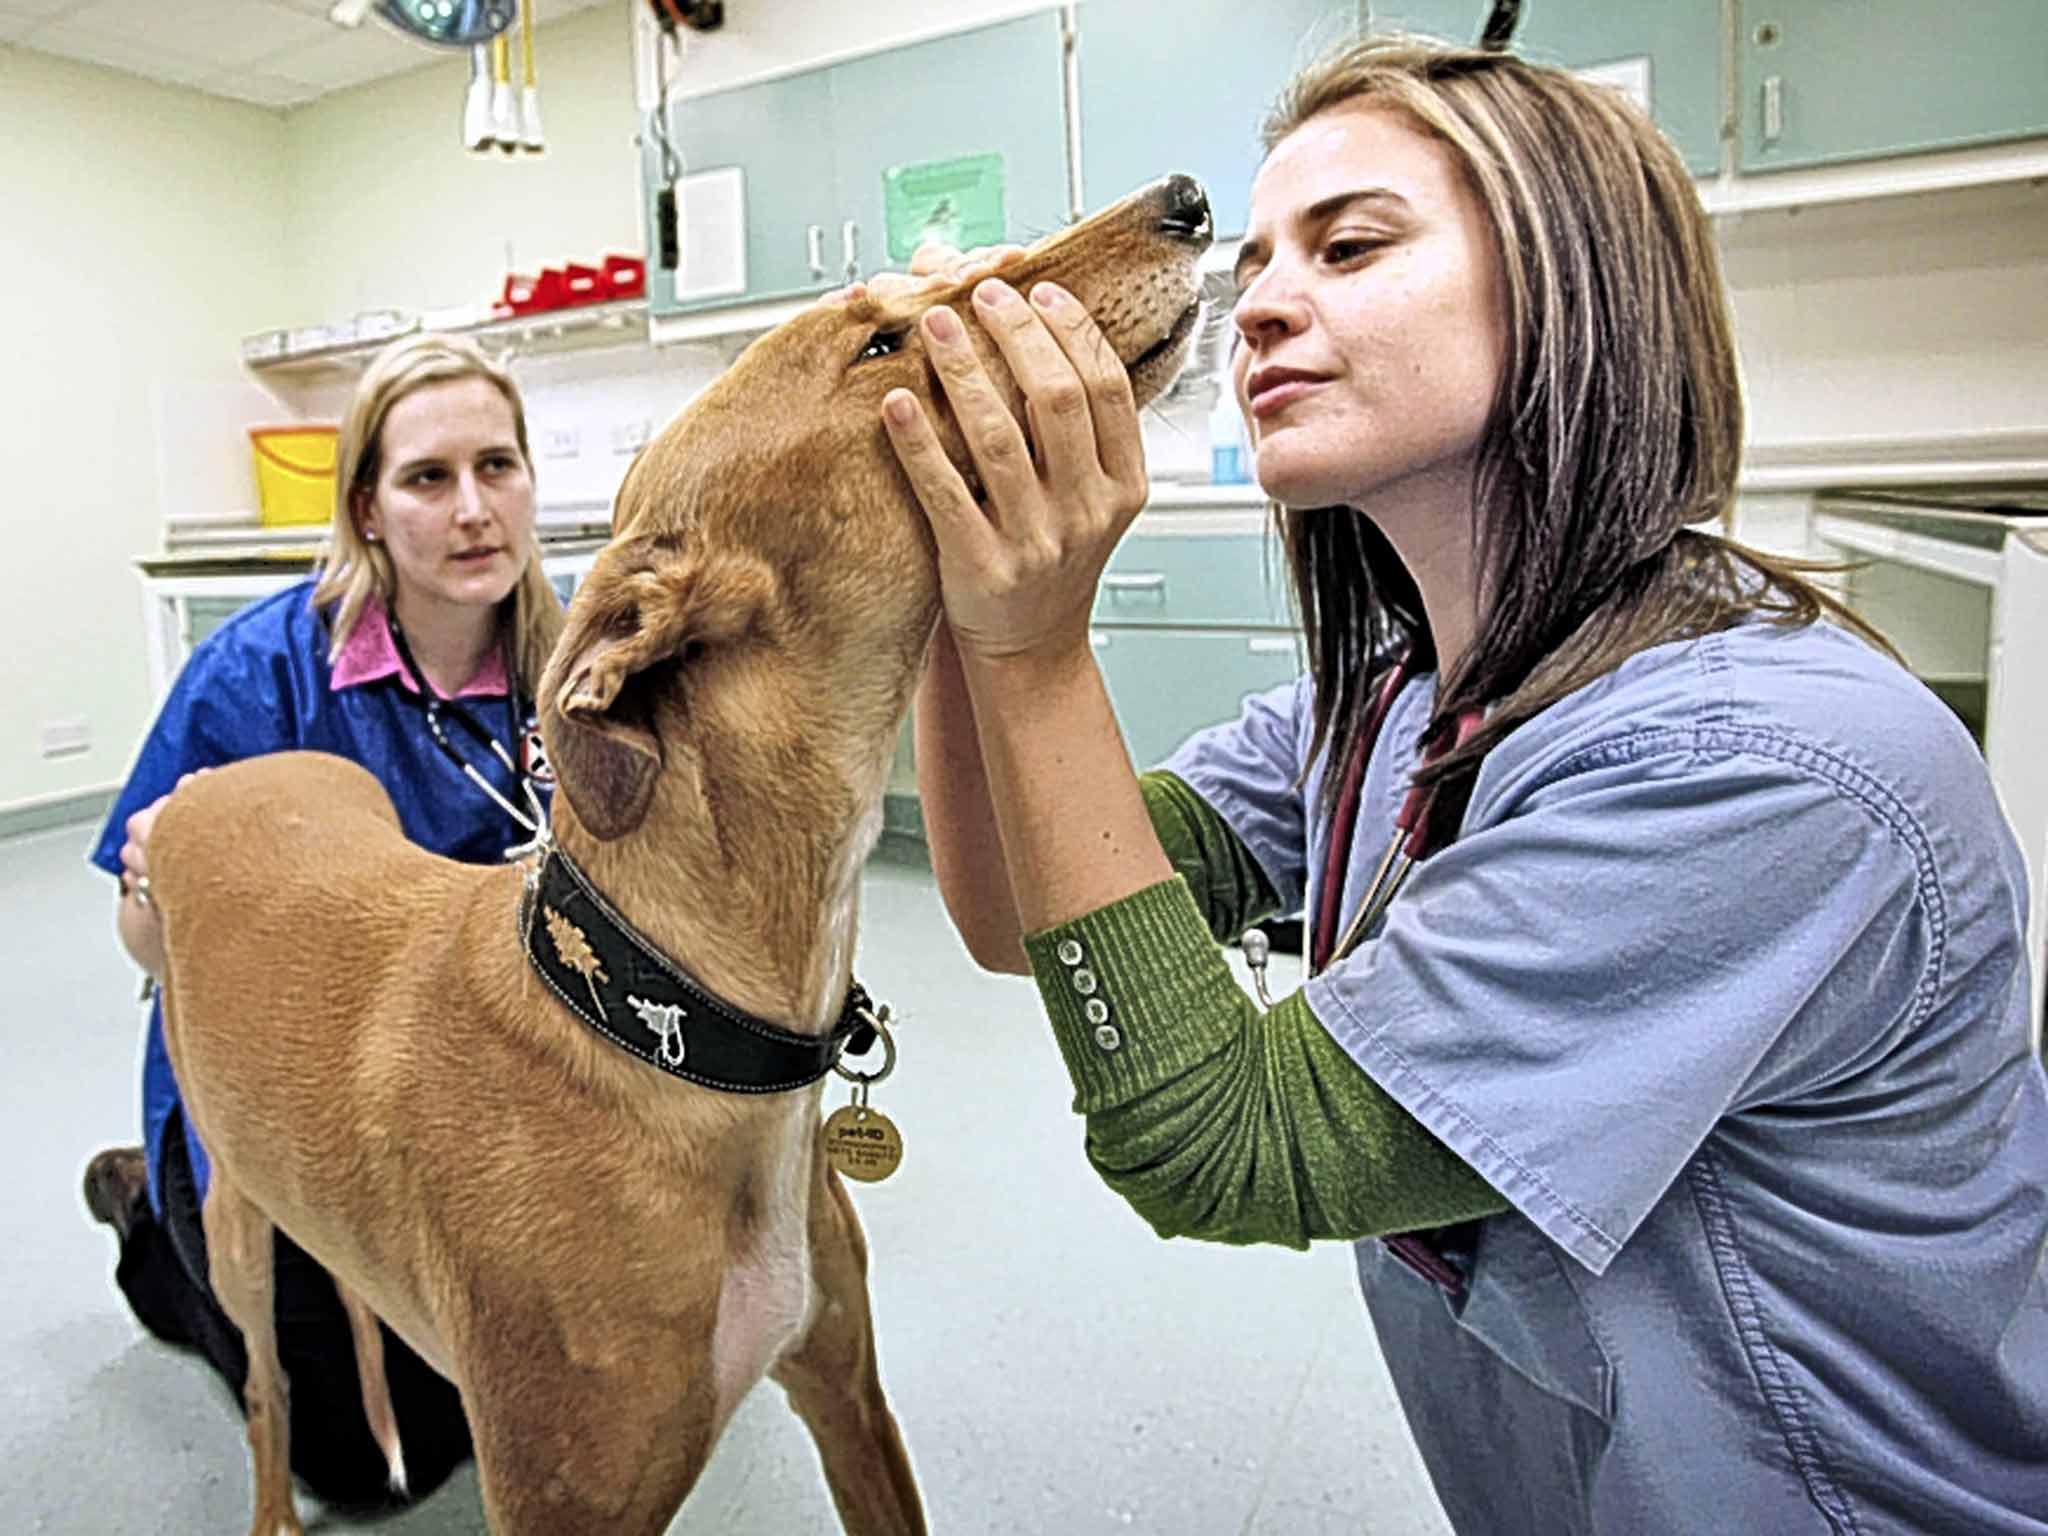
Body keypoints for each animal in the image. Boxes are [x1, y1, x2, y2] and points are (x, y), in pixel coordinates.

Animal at [151, 174, 1212, 1531]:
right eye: (880, 344)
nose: (1186, 198)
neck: (665, 1016)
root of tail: (223, 782)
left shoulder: (846, 1394)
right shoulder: (563, 1500)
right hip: (233, 1218)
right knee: (269, 1391)